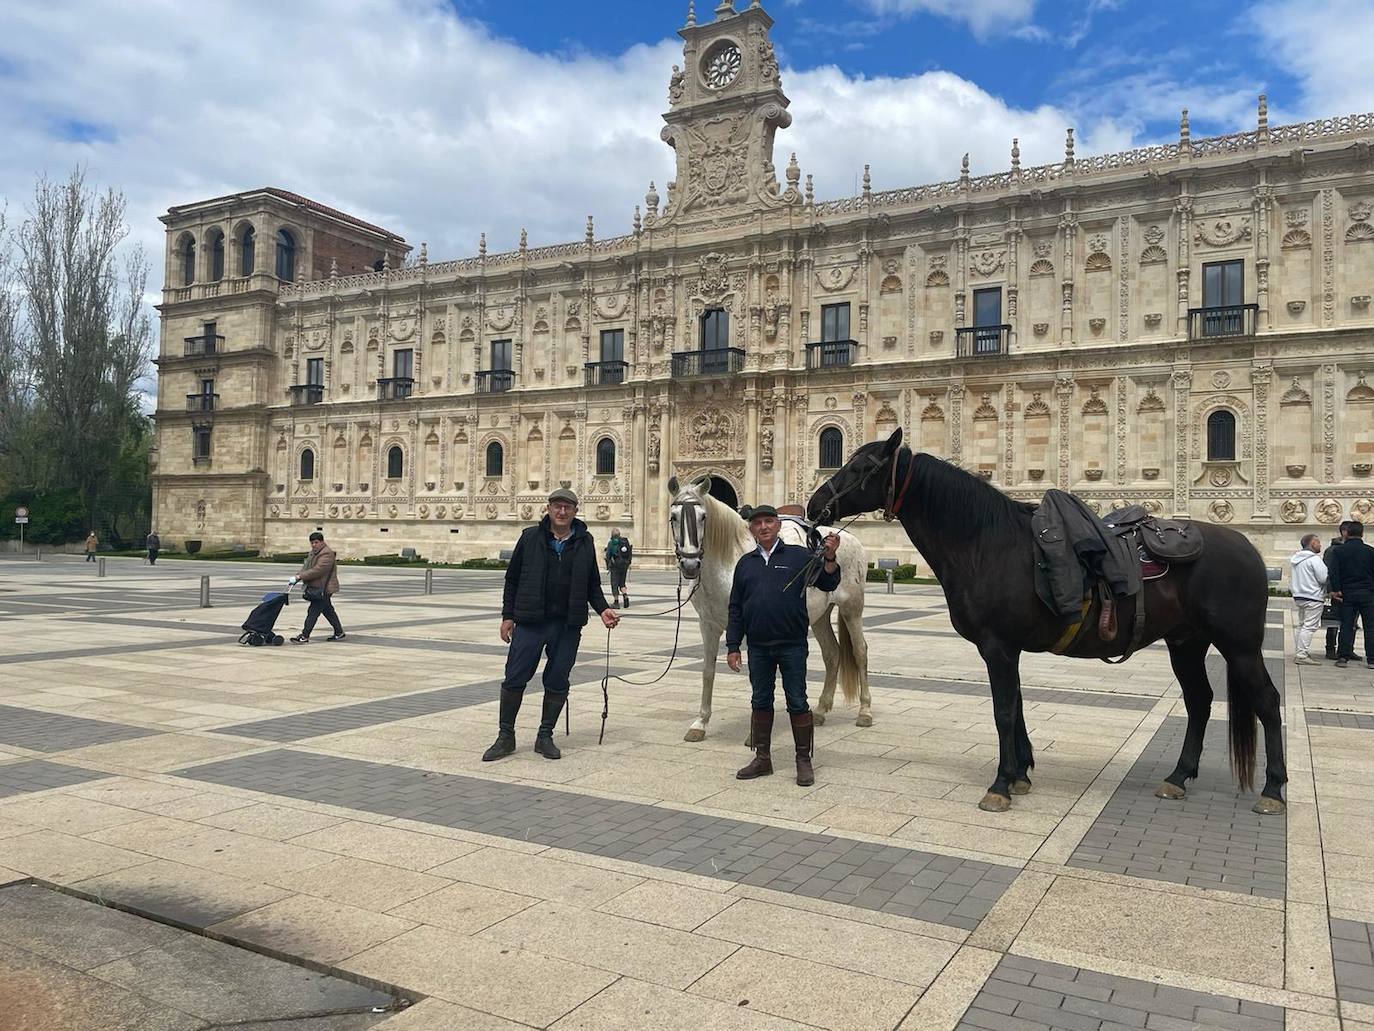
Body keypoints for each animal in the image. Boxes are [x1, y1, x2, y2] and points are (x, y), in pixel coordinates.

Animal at [665, 478, 868, 742]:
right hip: (820, 616)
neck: (726, 565)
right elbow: (708, 671)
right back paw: (820, 711)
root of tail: (847, 537)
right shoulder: (707, 625)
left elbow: (758, 676)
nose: (690, 564)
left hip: (852, 609)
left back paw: (865, 711)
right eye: (673, 517)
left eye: (703, 517)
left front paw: (755, 734)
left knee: (860, 652)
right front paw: (700, 723)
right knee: (832, 654)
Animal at [807, 428, 1280, 813]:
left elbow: (1002, 710)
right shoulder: (1006, 648)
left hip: (1239, 645)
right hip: (1187, 642)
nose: (814, 504)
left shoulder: (997, 645)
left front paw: (1000, 786)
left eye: (862, 466)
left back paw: (1272, 791)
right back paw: (1178, 778)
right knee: (1200, 701)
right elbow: (1015, 707)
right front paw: (1021, 775)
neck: (986, 543)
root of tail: (1248, 548)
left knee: (1267, 701)